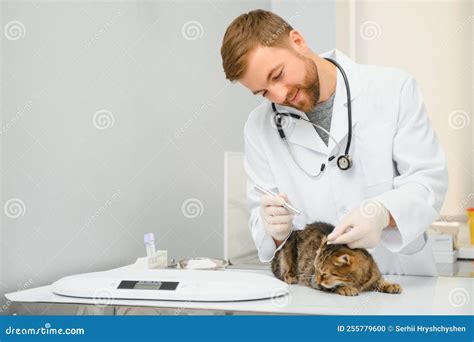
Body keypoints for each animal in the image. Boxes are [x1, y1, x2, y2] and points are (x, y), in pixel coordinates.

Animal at [272, 223, 402, 296]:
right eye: (316, 269)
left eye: (325, 274)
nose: (317, 280)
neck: (358, 281)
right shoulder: (313, 280)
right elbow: (333, 286)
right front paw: (345, 288)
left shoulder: (374, 277)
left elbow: (380, 282)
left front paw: (390, 285)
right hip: (287, 244)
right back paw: (290, 276)